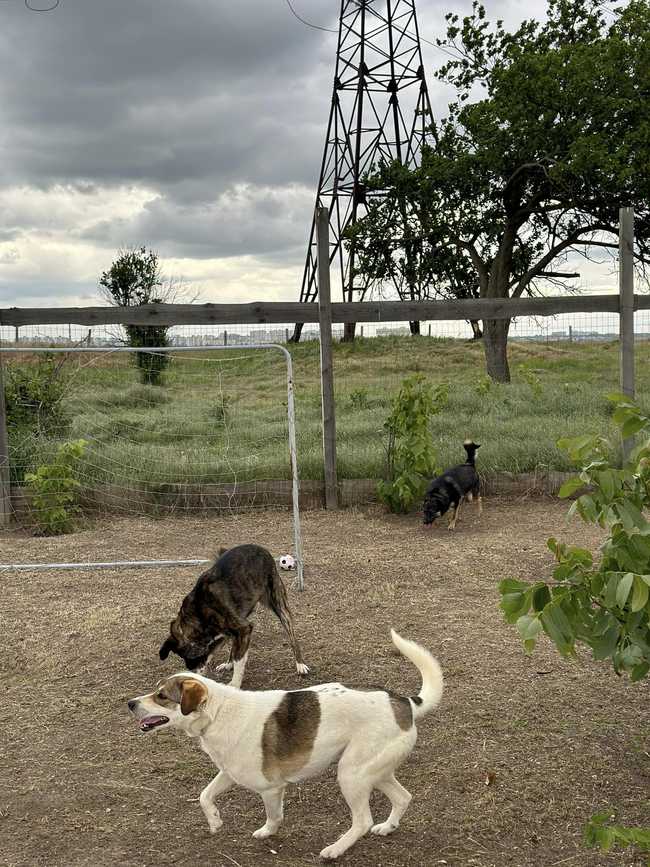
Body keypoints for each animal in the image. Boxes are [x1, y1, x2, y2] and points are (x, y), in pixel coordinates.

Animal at [128, 630, 443, 860]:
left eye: (161, 696)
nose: (130, 703)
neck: (218, 713)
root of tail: (405, 703)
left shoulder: (270, 788)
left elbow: (274, 815)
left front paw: (266, 832)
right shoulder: (229, 773)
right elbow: (205, 795)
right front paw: (215, 821)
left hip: (351, 774)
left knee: (363, 820)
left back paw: (335, 849)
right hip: (374, 771)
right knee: (403, 798)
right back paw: (388, 827)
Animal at [159, 544, 309, 688]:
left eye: (188, 657)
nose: (190, 673)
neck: (199, 612)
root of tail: (260, 547)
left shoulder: (244, 629)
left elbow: (239, 660)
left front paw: (234, 684)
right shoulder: (222, 636)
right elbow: (227, 653)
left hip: (279, 605)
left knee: (292, 636)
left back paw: (300, 664)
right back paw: (228, 663)